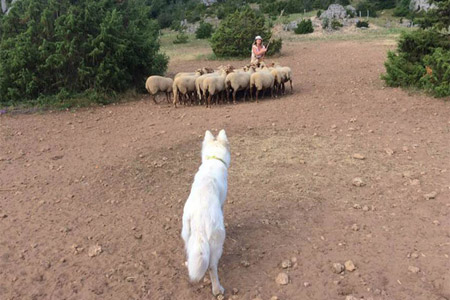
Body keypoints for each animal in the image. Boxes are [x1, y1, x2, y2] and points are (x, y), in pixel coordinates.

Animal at [181, 129, 230, 296]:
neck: (213, 159)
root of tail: (199, 219)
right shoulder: (222, 202)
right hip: (216, 241)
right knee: (212, 267)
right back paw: (217, 289)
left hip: (187, 234)